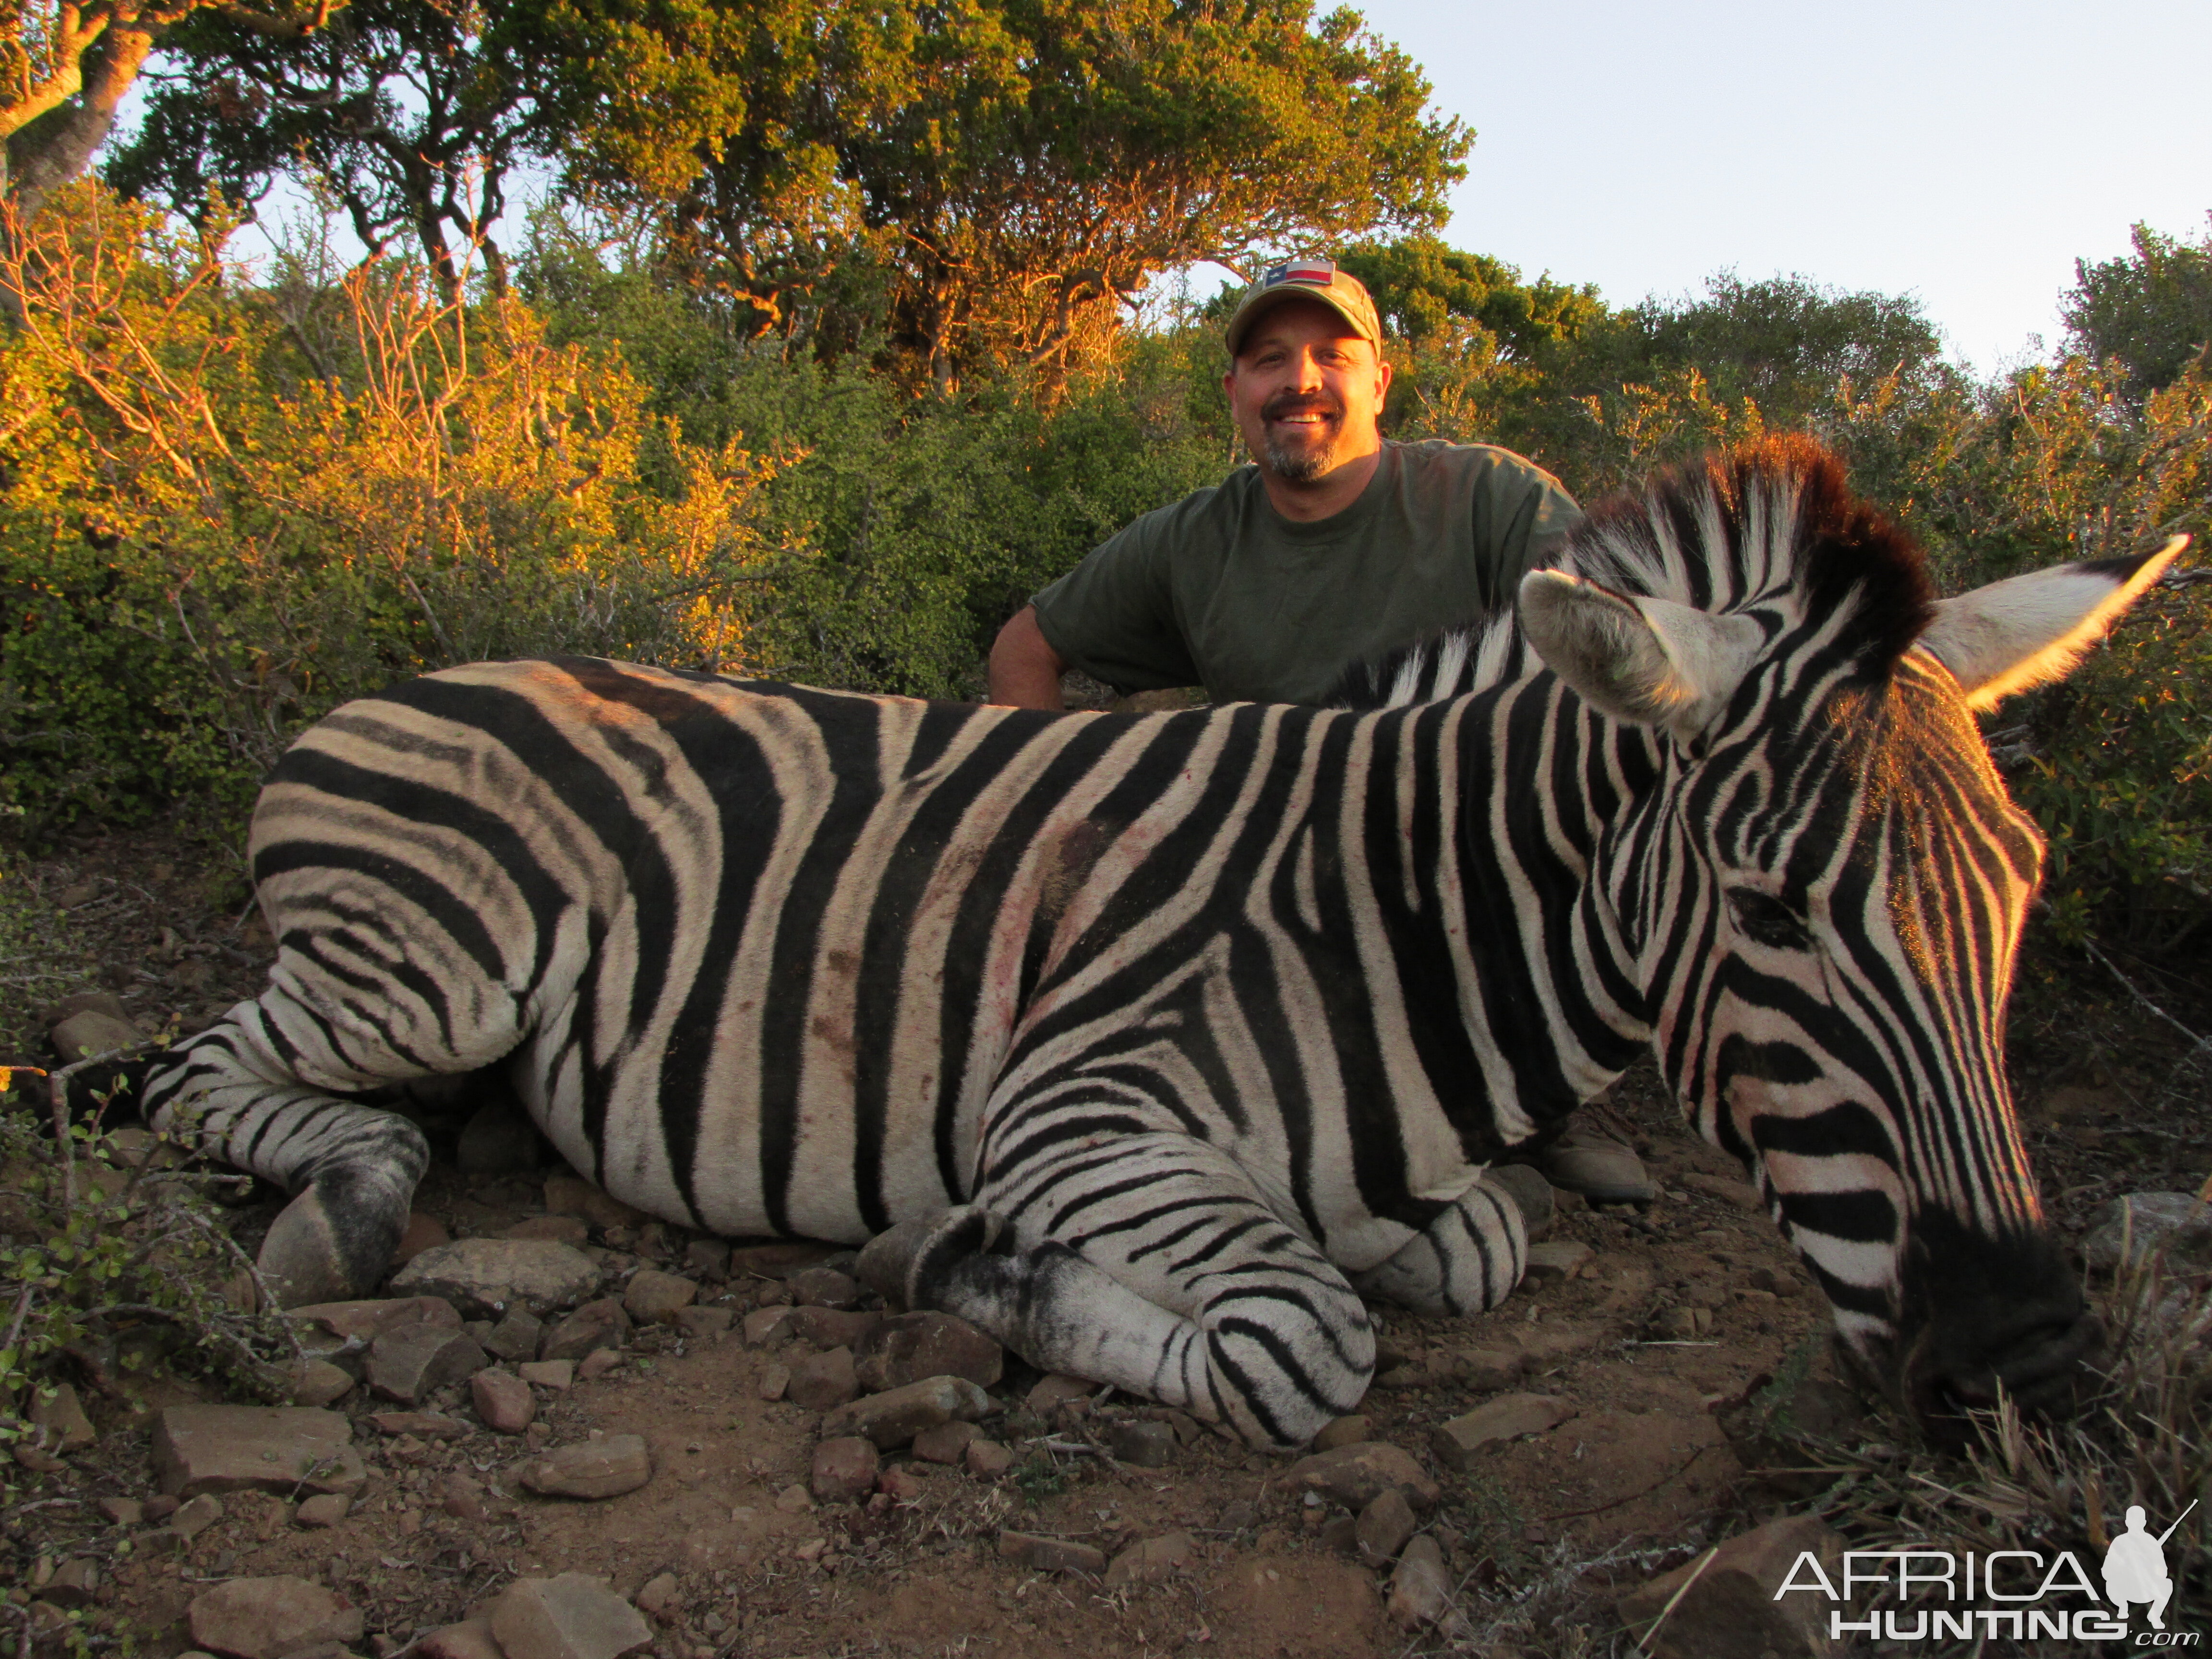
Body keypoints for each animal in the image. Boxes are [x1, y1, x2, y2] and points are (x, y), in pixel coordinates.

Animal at [133, 438, 2176, 1442]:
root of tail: (392, 683)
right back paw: (349, 1205)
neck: (1400, 912)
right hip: (423, 965)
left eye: (2016, 899)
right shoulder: (1069, 1110)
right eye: (1765, 914)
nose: (2028, 1363)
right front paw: (978, 1269)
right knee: (196, 1075)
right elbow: (1300, 1344)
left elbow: (1475, 1242)